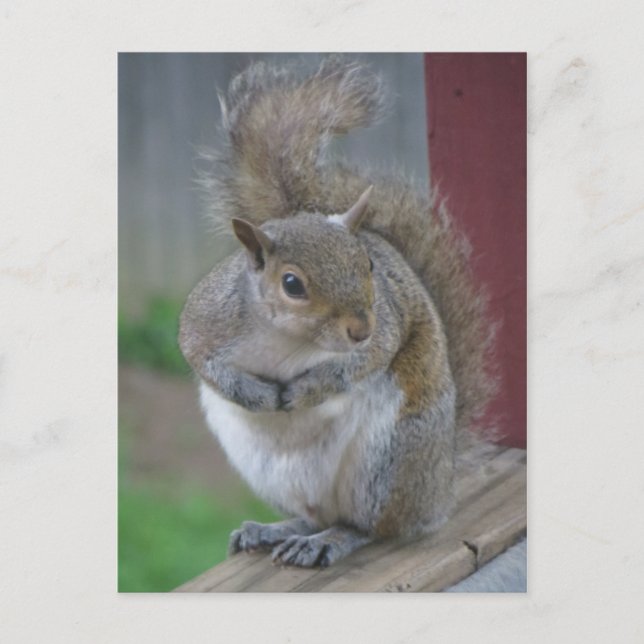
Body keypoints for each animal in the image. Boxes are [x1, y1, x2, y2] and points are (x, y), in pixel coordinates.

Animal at [179, 56, 496, 568]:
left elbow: (372, 355)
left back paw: (332, 540)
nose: (359, 328)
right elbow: (198, 356)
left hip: (388, 461)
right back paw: (274, 530)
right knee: (311, 515)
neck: (288, 341)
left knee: (371, 527)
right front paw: (255, 394)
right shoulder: (207, 318)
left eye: (368, 264)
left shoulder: (387, 321)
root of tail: (439, 488)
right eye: (292, 284)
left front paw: (309, 389)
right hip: (274, 472)